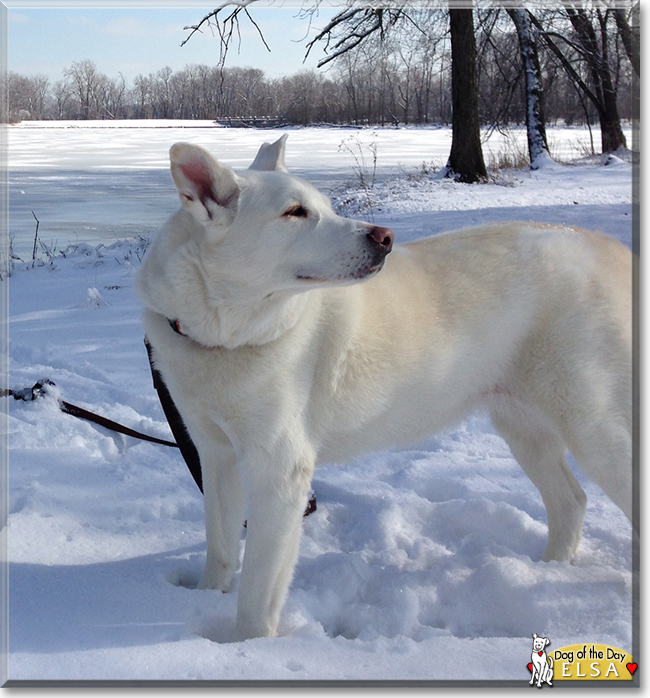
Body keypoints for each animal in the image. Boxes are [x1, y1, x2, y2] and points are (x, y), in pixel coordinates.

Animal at [135, 133, 628, 640]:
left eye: (326, 207)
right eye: (295, 212)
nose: (385, 237)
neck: (225, 338)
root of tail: (604, 247)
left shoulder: (279, 470)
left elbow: (257, 589)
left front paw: (247, 646)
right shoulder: (216, 456)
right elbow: (220, 549)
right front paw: (203, 602)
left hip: (590, 425)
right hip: (523, 426)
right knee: (571, 501)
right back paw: (549, 570)